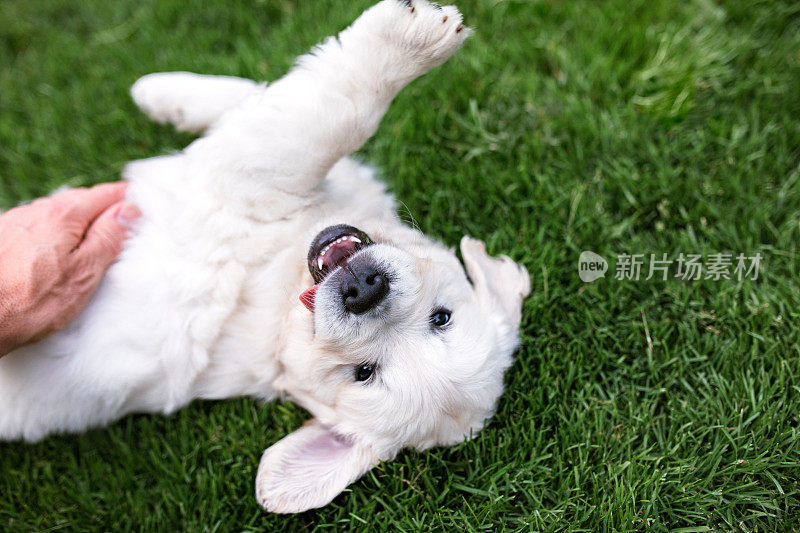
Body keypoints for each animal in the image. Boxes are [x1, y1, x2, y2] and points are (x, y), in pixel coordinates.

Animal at [0, 1, 532, 516]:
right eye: (442, 318)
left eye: (363, 372)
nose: (364, 289)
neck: (280, 305)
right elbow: (255, 98)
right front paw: (158, 93)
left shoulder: (252, 176)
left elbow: (331, 114)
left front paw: (407, 39)